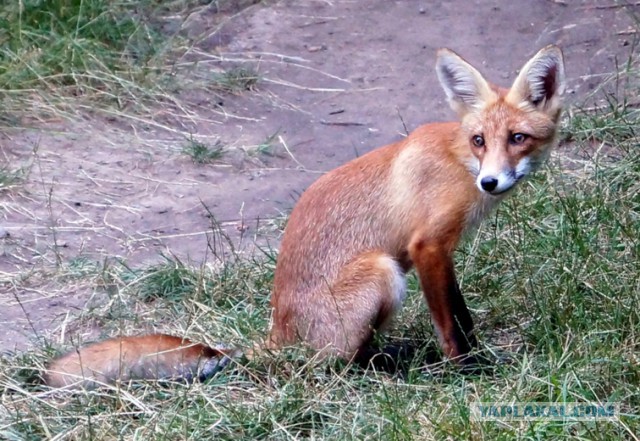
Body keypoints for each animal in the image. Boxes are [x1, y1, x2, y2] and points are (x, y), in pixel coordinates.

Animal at [44, 45, 565, 388]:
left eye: (517, 138)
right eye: (480, 140)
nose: (490, 182)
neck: (458, 162)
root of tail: (279, 332)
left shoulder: (444, 254)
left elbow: (462, 313)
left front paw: (479, 358)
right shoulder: (428, 246)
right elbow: (450, 326)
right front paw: (467, 372)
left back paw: (391, 355)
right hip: (383, 271)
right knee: (332, 364)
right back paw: (386, 370)